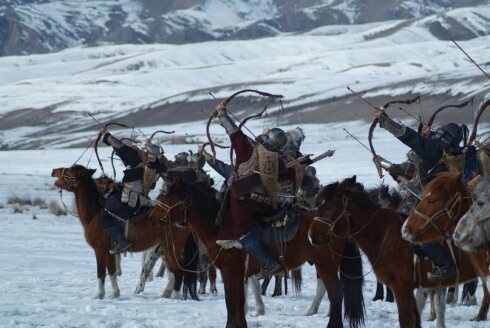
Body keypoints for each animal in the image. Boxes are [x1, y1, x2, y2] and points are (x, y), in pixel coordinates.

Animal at [52, 165, 199, 298]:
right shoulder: (110, 252)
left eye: (70, 170)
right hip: (164, 250)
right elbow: (112, 272)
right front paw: (115, 294)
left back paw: (173, 296)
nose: (54, 171)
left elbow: (101, 273)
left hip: (170, 249)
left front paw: (99, 295)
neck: (94, 214)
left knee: (178, 272)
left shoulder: (100, 250)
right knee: (173, 273)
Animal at [151, 177, 366, 328]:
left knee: (335, 292)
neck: (219, 225)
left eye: (169, 196)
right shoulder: (241, 274)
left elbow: (232, 302)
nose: (152, 216)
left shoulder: (230, 270)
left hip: (325, 263)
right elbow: (239, 302)